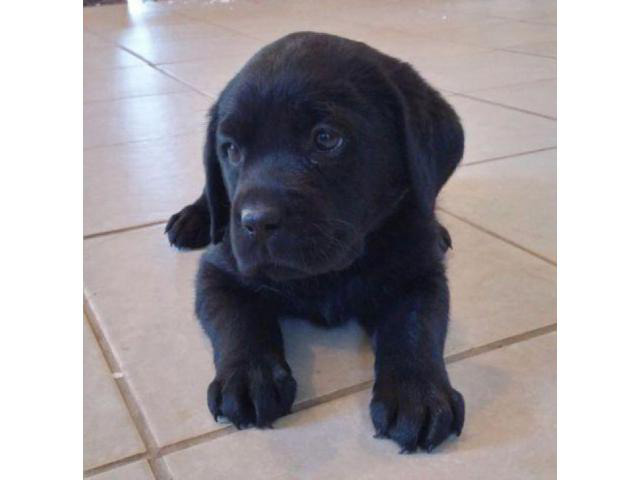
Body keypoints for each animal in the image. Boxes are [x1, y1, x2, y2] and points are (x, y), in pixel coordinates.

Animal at [165, 31, 464, 454]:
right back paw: (194, 217)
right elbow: (237, 319)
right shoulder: (220, 270)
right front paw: (250, 375)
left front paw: (417, 394)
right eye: (232, 150)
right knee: (211, 194)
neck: (329, 273)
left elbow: (415, 325)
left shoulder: (418, 275)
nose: (255, 222)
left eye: (326, 138)